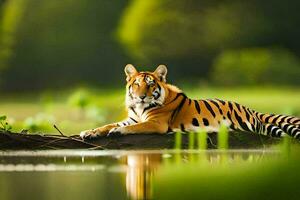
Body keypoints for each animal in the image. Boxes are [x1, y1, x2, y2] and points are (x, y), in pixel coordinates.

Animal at [79, 64, 300, 139]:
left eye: (150, 84)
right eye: (136, 84)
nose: (141, 96)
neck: (140, 107)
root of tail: (251, 109)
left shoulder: (155, 123)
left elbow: (132, 128)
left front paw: (117, 131)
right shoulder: (131, 118)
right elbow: (107, 124)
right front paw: (89, 132)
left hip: (250, 124)